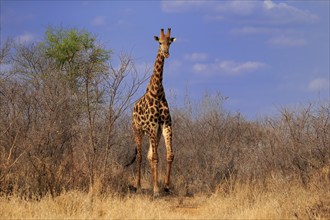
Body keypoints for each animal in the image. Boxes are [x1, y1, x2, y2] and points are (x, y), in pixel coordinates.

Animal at [131, 27, 175, 198]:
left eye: (170, 42)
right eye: (160, 42)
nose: (166, 53)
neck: (157, 92)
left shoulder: (165, 125)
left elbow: (169, 155)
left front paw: (166, 186)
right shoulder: (152, 125)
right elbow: (155, 157)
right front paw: (156, 190)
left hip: (154, 133)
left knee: (149, 155)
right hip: (138, 130)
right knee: (140, 156)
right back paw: (138, 186)